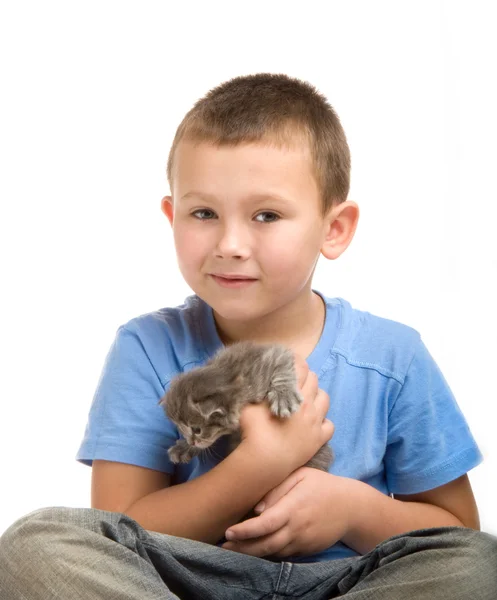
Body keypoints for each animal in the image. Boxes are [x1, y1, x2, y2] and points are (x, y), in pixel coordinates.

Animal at [159, 340, 334, 472]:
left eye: (197, 430)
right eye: (181, 428)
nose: (191, 441)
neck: (228, 374)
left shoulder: (273, 355)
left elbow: (282, 367)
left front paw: (284, 396)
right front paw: (184, 448)